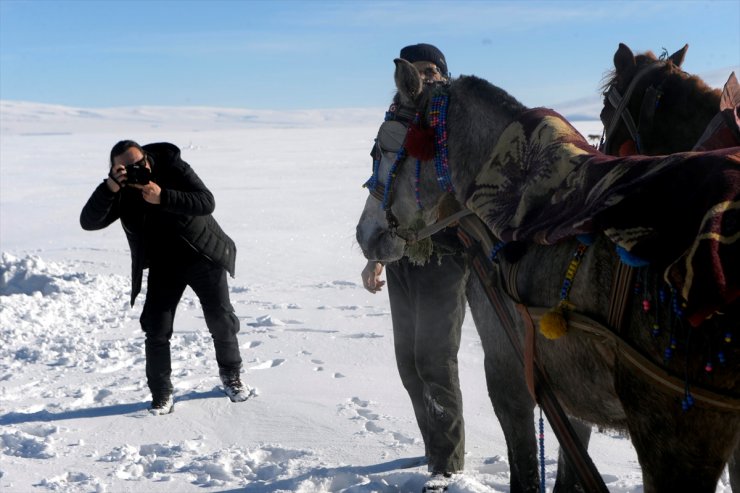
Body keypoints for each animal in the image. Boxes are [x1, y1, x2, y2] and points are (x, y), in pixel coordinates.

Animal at [356, 55, 740, 490]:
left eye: (378, 150)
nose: (365, 234)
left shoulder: (508, 370)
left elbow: (525, 468)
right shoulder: (571, 393)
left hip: (675, 432)